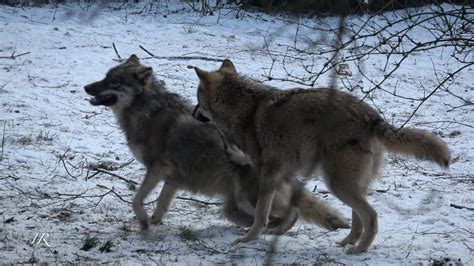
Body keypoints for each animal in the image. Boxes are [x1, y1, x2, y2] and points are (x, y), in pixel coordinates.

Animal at [84, 54, 348, 235]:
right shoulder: (173, 179)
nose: (86, 87)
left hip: (248, 201)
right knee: (273, 217)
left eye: (114, 82)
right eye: (105, 77)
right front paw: (154, 222)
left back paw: (271, 231)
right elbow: (161, 205)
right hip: (234, 210)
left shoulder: (157, 169)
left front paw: (144, 223)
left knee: (291, 213)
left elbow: (136, 200)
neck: (147, 112)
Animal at [191, 59, 450, 252]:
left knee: (372, 216)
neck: (246, 110)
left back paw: (359, 249)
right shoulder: (280, 172)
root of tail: (373, 117)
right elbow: (292, 206)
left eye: (197, 100)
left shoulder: (268, 172)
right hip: (348, 186)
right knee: (358, 220)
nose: (193, 114)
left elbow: (261, 213)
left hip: (338, 185)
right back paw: (346, 243)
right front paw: (278, 231)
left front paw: (248, 239)